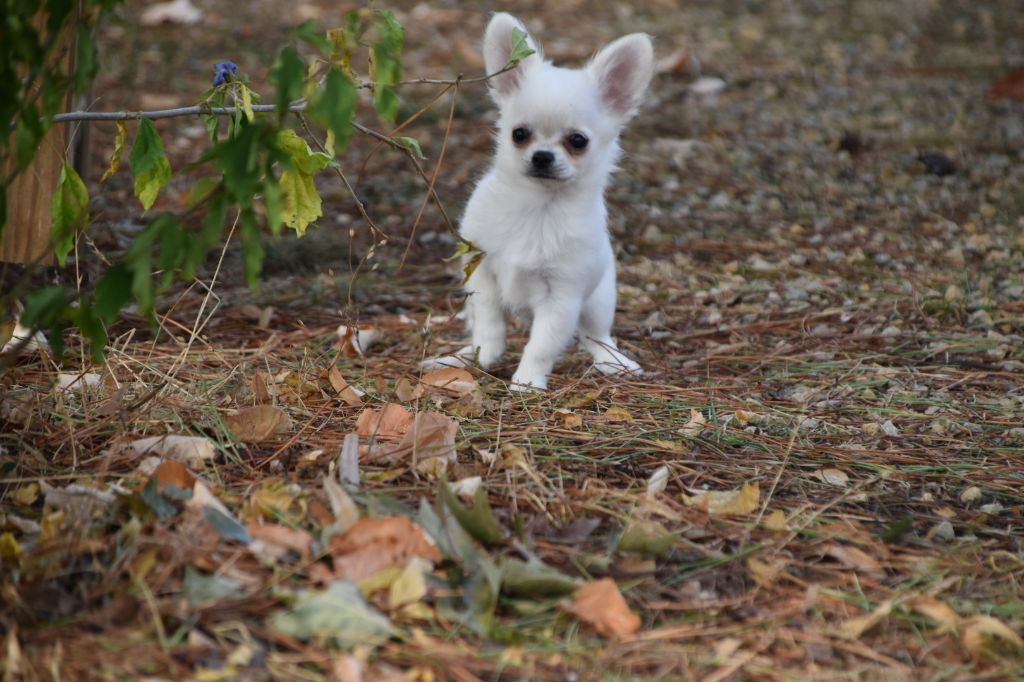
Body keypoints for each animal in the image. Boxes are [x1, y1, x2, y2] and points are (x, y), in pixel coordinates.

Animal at [438, 13, 651, 391]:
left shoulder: (562, 298)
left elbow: (542, 344)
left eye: (577, 141)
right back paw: (460, 356)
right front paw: (485, 354)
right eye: (519, 134)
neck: (537, 206)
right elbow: (489, 321)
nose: (542, 157)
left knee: (596, 336)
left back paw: (613, 362)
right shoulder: (482, 272)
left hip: (598, 301)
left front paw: (527, 382)